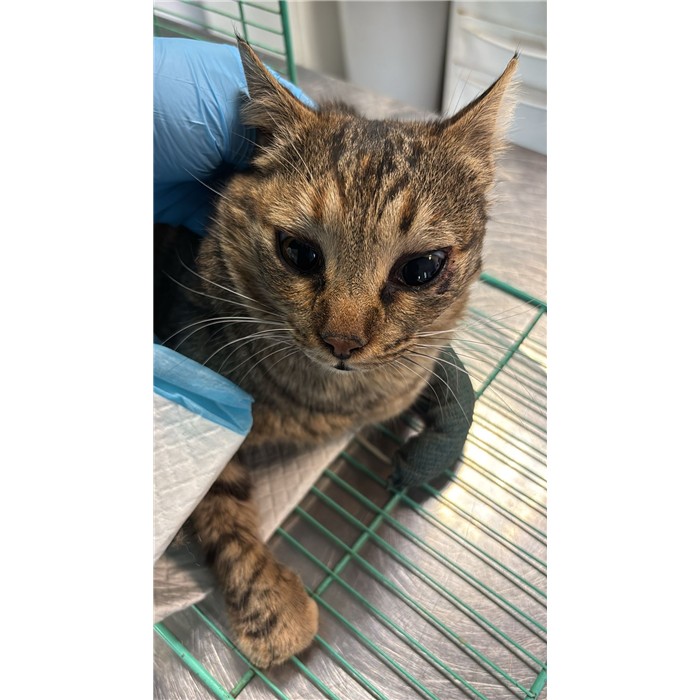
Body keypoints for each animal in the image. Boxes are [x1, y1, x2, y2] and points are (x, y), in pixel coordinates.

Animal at [154, 40, 518, 668]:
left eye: (421, 269)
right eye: (299, 252)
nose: (343, 342)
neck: (331, 402)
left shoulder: (416, 366)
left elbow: (455, 389)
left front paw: (429, 456)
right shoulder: (201, 381)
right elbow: (216, 503)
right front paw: (272, 608)